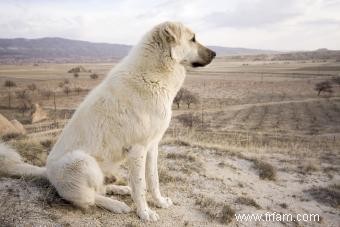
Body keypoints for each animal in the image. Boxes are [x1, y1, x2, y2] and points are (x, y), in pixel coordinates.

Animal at [0, 20, 215, 220]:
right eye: (192, 39)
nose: (214, 54)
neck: (155, 75)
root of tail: (46, 172)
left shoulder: (152, 146)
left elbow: (153, 180)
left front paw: (160, 202)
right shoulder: (138, 149)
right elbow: (140, 186)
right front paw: (145, 213)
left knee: (100, 189)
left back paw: (121, 190)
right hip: (82, 162)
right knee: (89, 198)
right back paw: (116, 204)